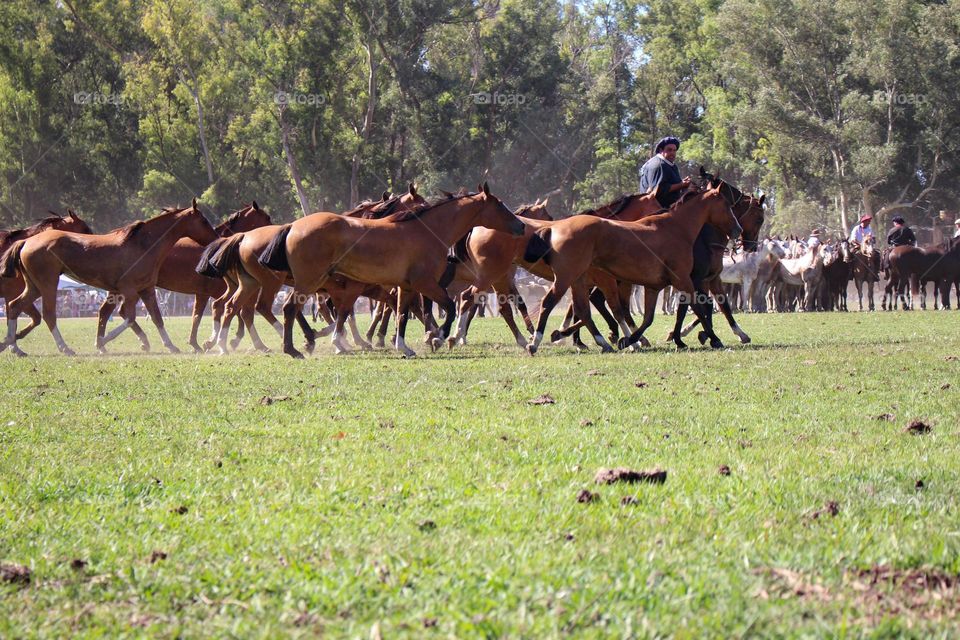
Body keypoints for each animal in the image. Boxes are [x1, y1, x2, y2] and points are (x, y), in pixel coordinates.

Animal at [257, 183, 525, 358]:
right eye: (500, 205)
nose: (521, 226)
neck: (425, 231)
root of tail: (293, 226)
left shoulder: (406, 287)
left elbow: (402, 315)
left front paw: (403, 347)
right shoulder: (426, 284)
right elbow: (448, 308)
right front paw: (438, 337)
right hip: (308, 282)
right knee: (289, 308)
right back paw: (293, 349)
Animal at [523, 181, 742, 354]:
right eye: (727, 205)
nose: (738, 230)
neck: (676, 229)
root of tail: (554, 228)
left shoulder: (654, 287)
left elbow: (648, 318)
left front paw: (629, 340)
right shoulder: (683, 280)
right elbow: (699, 307)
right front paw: (714, 338)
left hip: (579, 280)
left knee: (583, 310)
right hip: (566, 278)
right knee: (549, 303)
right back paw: (535, 342)